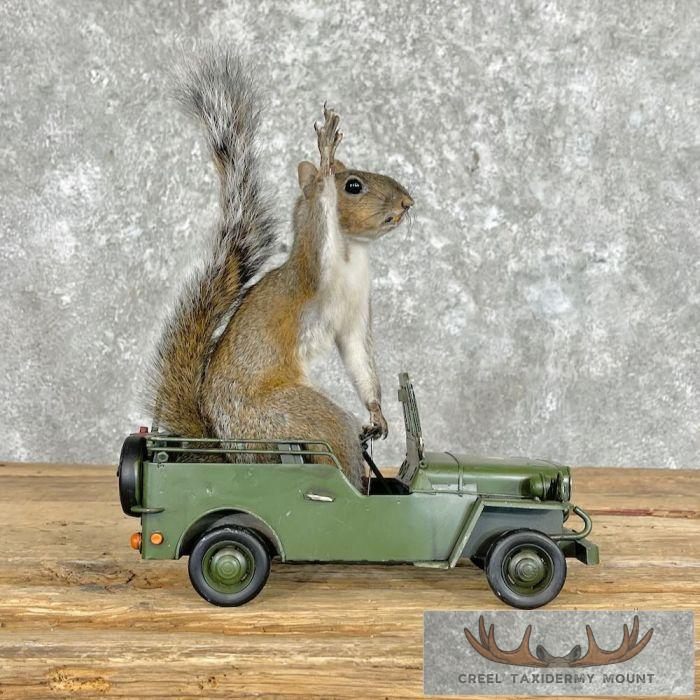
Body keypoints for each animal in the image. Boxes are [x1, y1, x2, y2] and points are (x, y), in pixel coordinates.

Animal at [148, 50, 413, 489]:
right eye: (353, 186)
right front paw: (324, 158)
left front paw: (377, 415)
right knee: (334, 439)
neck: (352, 255)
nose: (408, 202)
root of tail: (236, 452)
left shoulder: (355, 316)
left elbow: (358, 356)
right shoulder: (313, 268)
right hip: (289, 414)